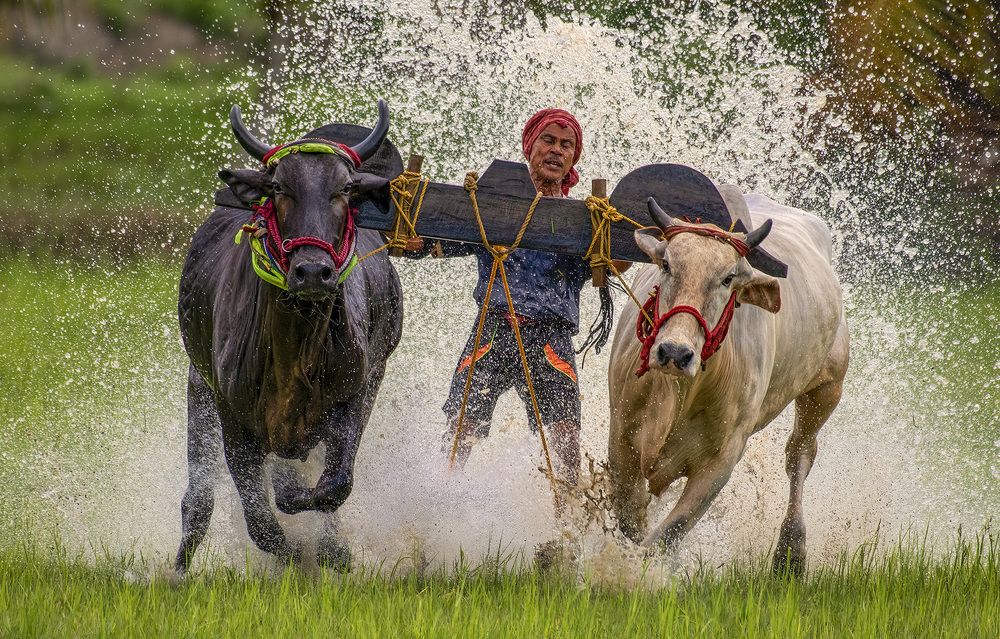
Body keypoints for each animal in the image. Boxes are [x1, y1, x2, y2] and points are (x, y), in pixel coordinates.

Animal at [174, 100, 403, 574]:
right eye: (279, 186)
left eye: (345, 188)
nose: (313, 272)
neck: (295, 348)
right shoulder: (231, 413)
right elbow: (261, 521)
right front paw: (296, 554)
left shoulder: (357, 393)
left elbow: (332, 487)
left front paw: (331, 548)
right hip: (198, 384)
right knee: (197, 500)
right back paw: (180, 567)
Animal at [607, 187, 849, 574]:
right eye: (666, 264)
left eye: (728, 278)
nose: (674, 353)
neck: (678, 393)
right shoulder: (621, 435)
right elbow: (631, 522)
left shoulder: (722, 460)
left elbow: (666, 534)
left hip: (826, 389)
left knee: (799, 454)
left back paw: (791, 553)